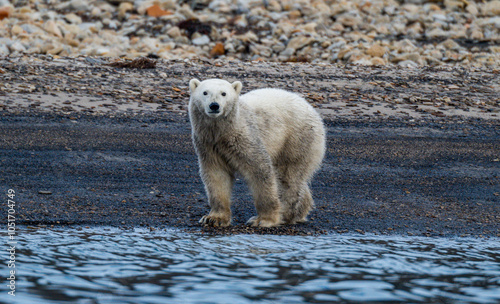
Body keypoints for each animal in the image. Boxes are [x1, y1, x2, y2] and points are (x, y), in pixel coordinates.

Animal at [188, 79, 324, 228]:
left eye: (224, 93)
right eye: (205, 92)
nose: (214, 106)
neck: (223, 132)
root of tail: (311, 108)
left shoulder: (245, 137)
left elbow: (260, 170)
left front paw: (264, 219)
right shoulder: (209, 145)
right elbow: (217, 175)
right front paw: (214, 218)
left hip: (297, 138)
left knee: (288, 177)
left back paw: (286, 213)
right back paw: (300, 211)